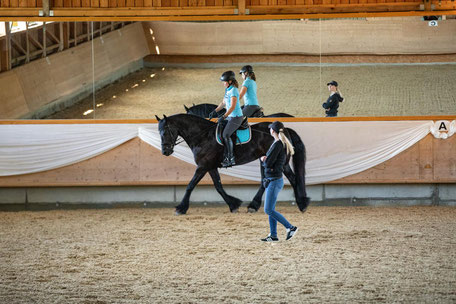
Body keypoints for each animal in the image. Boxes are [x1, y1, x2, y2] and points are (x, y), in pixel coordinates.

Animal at [156, 113, 310, 215]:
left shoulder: (203, 166)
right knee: (270, 181)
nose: (165, 151)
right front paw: (233, 204)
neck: (203, 136)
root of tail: (284, 130)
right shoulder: (210, 166)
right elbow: (218, 186)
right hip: (267, 160)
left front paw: (181, 208)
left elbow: (190, 185)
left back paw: (301, 204)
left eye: (165, 132)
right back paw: (256, 205)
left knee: (291, 179)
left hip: (278, 162)